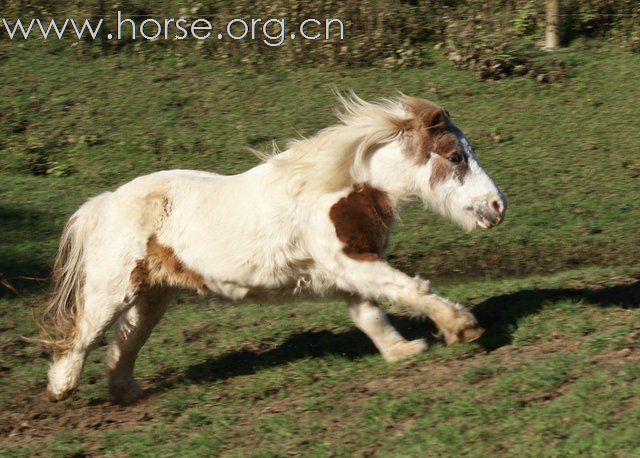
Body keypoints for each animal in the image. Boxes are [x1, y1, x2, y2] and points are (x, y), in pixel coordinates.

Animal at [40, 94, 508, 404]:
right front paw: (461, 327)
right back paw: (61, 390)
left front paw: (403, 351)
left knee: (125, 342)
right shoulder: (350, 261)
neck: (337, 189)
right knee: (81, 338)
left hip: (153, 294)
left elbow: (370, 314)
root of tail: (105, 202)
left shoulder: (346, 270)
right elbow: (407, 288)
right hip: (112, 290)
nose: (497, 206)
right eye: (455, 156)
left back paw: (127, 394)